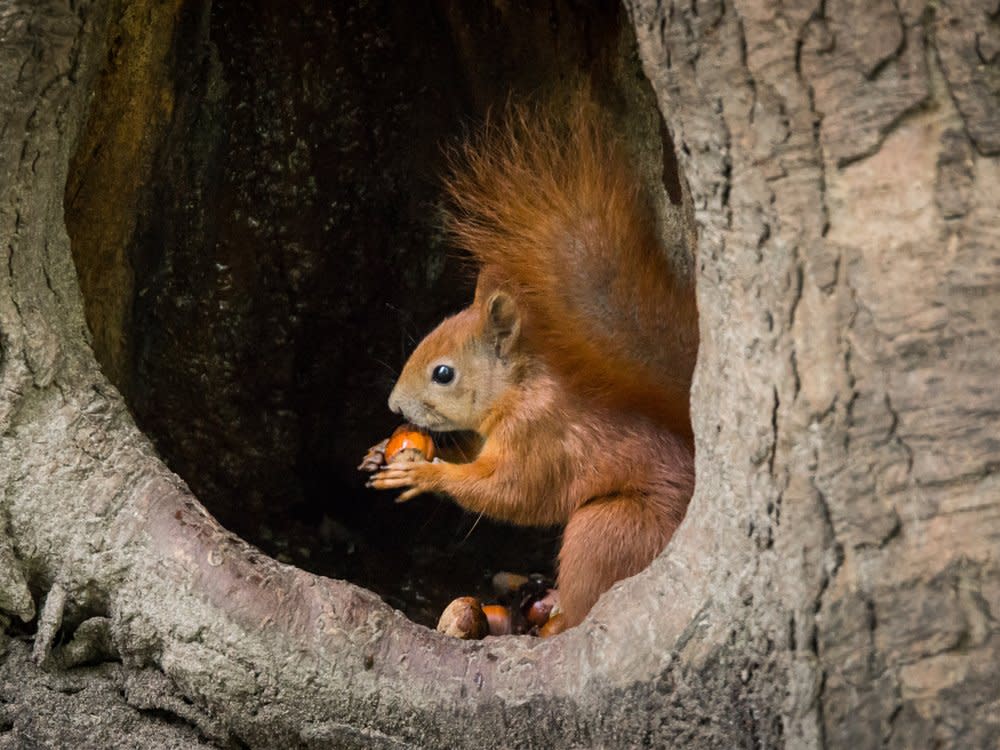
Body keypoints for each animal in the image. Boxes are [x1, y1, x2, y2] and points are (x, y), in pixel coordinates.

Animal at [368, 95, 696, 628]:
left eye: (444, 373)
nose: (395, 407)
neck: (518, 389)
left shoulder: (540, 435)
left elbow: (509, 492)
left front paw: (424, 475)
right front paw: (380, 450)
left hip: (607, 529)